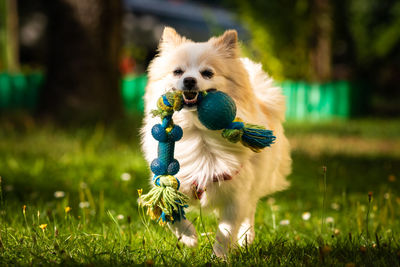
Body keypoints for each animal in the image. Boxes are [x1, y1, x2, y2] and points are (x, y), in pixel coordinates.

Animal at [142, 27, 292, 258]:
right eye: (178, 72)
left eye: (207, 73)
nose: (189, 80)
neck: (198, 133)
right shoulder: (174, 179)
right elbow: (170, 209)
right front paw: (188, 237)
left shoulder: (235, 195)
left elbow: (226, 231)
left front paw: (220, 257)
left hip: (255, 183)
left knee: (250, 211)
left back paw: (246, 239)